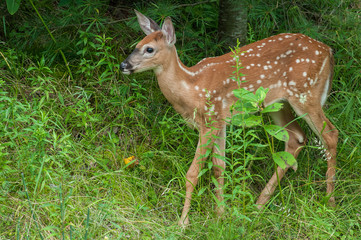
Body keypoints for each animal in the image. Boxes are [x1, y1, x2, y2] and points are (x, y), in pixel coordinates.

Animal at [121, 10, 338, 225]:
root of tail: (328, 51)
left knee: (330, 134)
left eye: (149, 49)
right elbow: (220, 166)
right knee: (297, 137)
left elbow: (193, 172)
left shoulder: (210, 119)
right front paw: (220, 216)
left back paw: (329, 202)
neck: (192, 87)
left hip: (306, 93)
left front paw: (183, 223)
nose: (124, 65)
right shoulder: (220, 121)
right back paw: (258, 205)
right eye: (137, 45)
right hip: (277, 103)